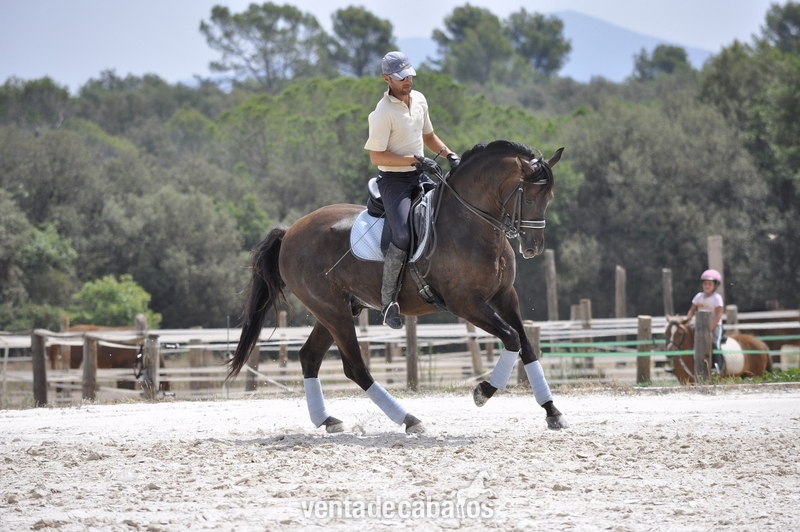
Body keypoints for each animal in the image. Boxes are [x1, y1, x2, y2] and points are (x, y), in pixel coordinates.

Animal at [229, 140, 569, 433]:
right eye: (529, 197)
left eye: (549, 198)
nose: (533, 248)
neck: (471, 222)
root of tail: (290, 232)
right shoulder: (466, 304)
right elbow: (511, 338)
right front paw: (483, 392)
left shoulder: (505, 297)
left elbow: (526, 345)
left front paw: (553, 412)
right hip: (333, 310)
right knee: (356, 368)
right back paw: (408, 419)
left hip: (336, 310)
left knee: (309, 357)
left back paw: (327, 420)